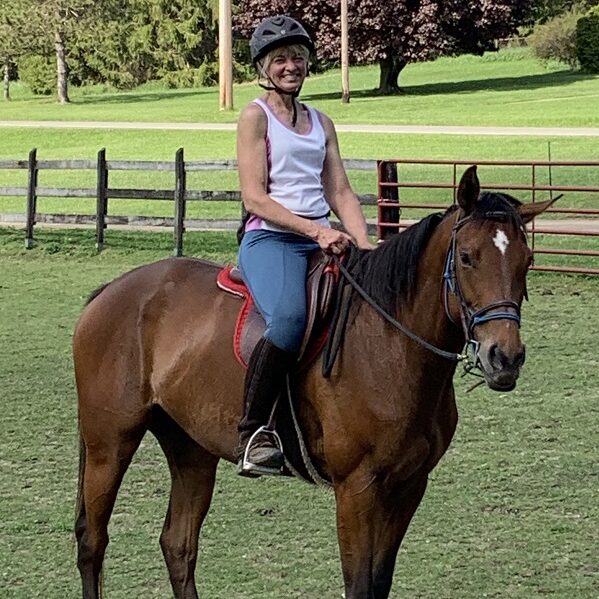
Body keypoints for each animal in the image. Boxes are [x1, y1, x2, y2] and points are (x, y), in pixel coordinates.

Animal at [72, 165, 556, 599]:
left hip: (190, 449)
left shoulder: (409, 485)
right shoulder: (357, 488)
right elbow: (359, 585)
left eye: (527, 261)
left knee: (178, 545)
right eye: (468, 257)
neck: (390, 343)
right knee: (93, 541)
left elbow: (379, 583)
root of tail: (109, 292)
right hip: (109, 444)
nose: (504, 356)